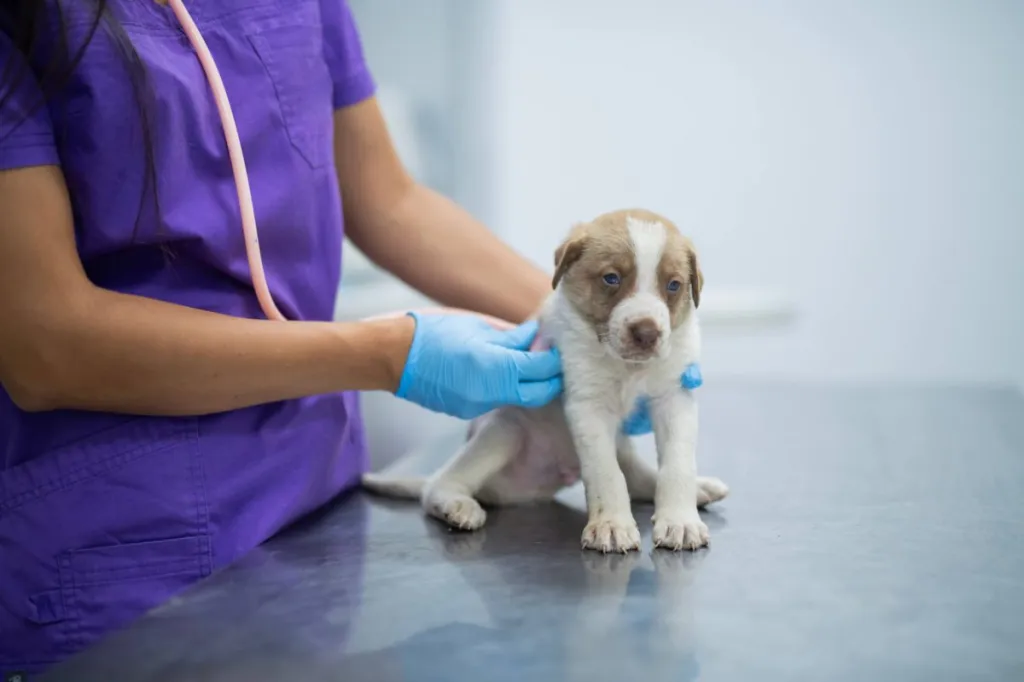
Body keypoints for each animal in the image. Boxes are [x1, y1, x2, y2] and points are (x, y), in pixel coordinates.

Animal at [364, 204, 724, 548]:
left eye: (673, 285)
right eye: (611, 278)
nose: (647, 334)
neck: (627, 368)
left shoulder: (674, 398)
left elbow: (676, 465)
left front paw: (680, 521)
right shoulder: (588, 406)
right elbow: (606, 473)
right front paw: (611, 525)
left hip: (619, 445)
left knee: (639, 478)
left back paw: (700, 488)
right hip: (504, 431)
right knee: (438, 484)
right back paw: (456, 504)